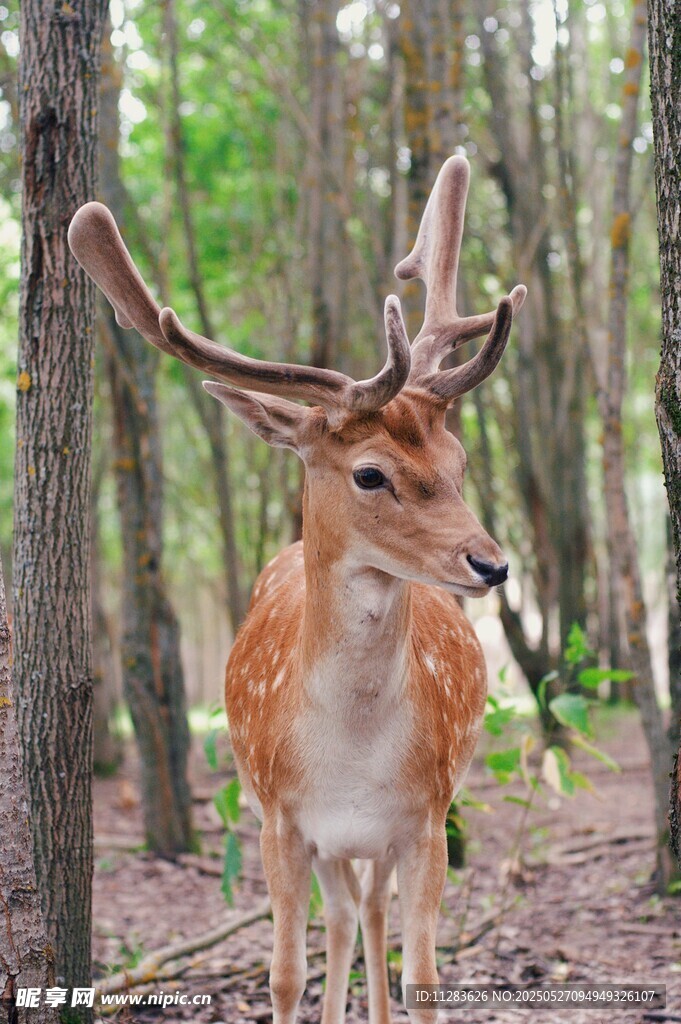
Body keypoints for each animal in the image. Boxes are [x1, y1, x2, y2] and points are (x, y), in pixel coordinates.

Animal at [69, 154, 525, 1024]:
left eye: (457, 463)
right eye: (370, 473)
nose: (491, 564)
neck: (348, 757)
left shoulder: (426, 816)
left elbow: (422, 977)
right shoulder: (279, 819)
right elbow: (283, 972)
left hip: (384, 837)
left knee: (368, 912)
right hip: (311, 835)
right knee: (345, 916)